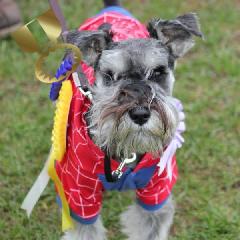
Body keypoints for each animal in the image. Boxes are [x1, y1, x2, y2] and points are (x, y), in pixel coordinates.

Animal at [48, 0, 202, 239]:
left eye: (158, 72)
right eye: (110, 76)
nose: (139, 114)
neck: (126, 154)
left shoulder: (156, 191)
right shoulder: (79, 195)